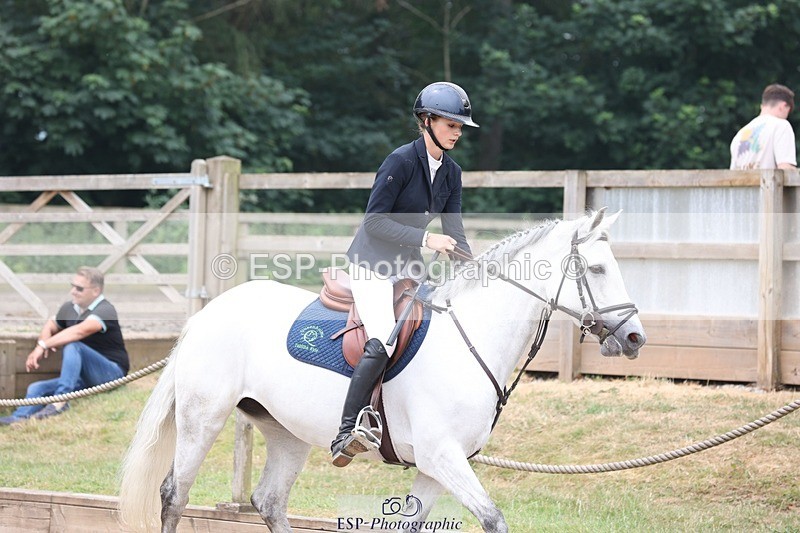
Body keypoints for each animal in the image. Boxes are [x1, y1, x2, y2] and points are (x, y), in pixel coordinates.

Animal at [119, 208, 647, 533]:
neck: (471, 339)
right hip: (202, 417)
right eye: (597, 269)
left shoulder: (439, 466)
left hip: (287, 432)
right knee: (174, 494)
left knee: (269, 501)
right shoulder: (442, 456)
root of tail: (208, 311)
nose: (635, 338)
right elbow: (494, 519)